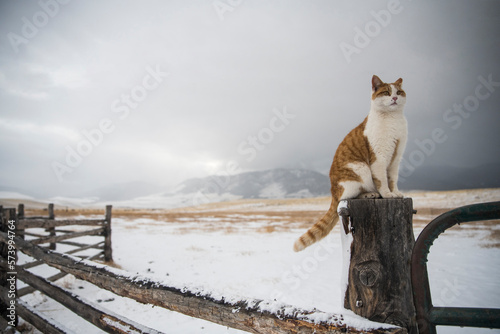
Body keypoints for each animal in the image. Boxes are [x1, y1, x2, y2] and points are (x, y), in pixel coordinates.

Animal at [292, 75, 406, 252]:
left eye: (399, 92)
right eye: (386, 92)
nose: (394, 98)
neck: (394, 120)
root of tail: (333, 191)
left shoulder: (396, 159)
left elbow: (392, 180)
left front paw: (396, 193)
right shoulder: (379, 158)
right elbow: (382, 181)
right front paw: (387, 194)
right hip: (360, 170)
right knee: (347, 197)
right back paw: (369, 194)